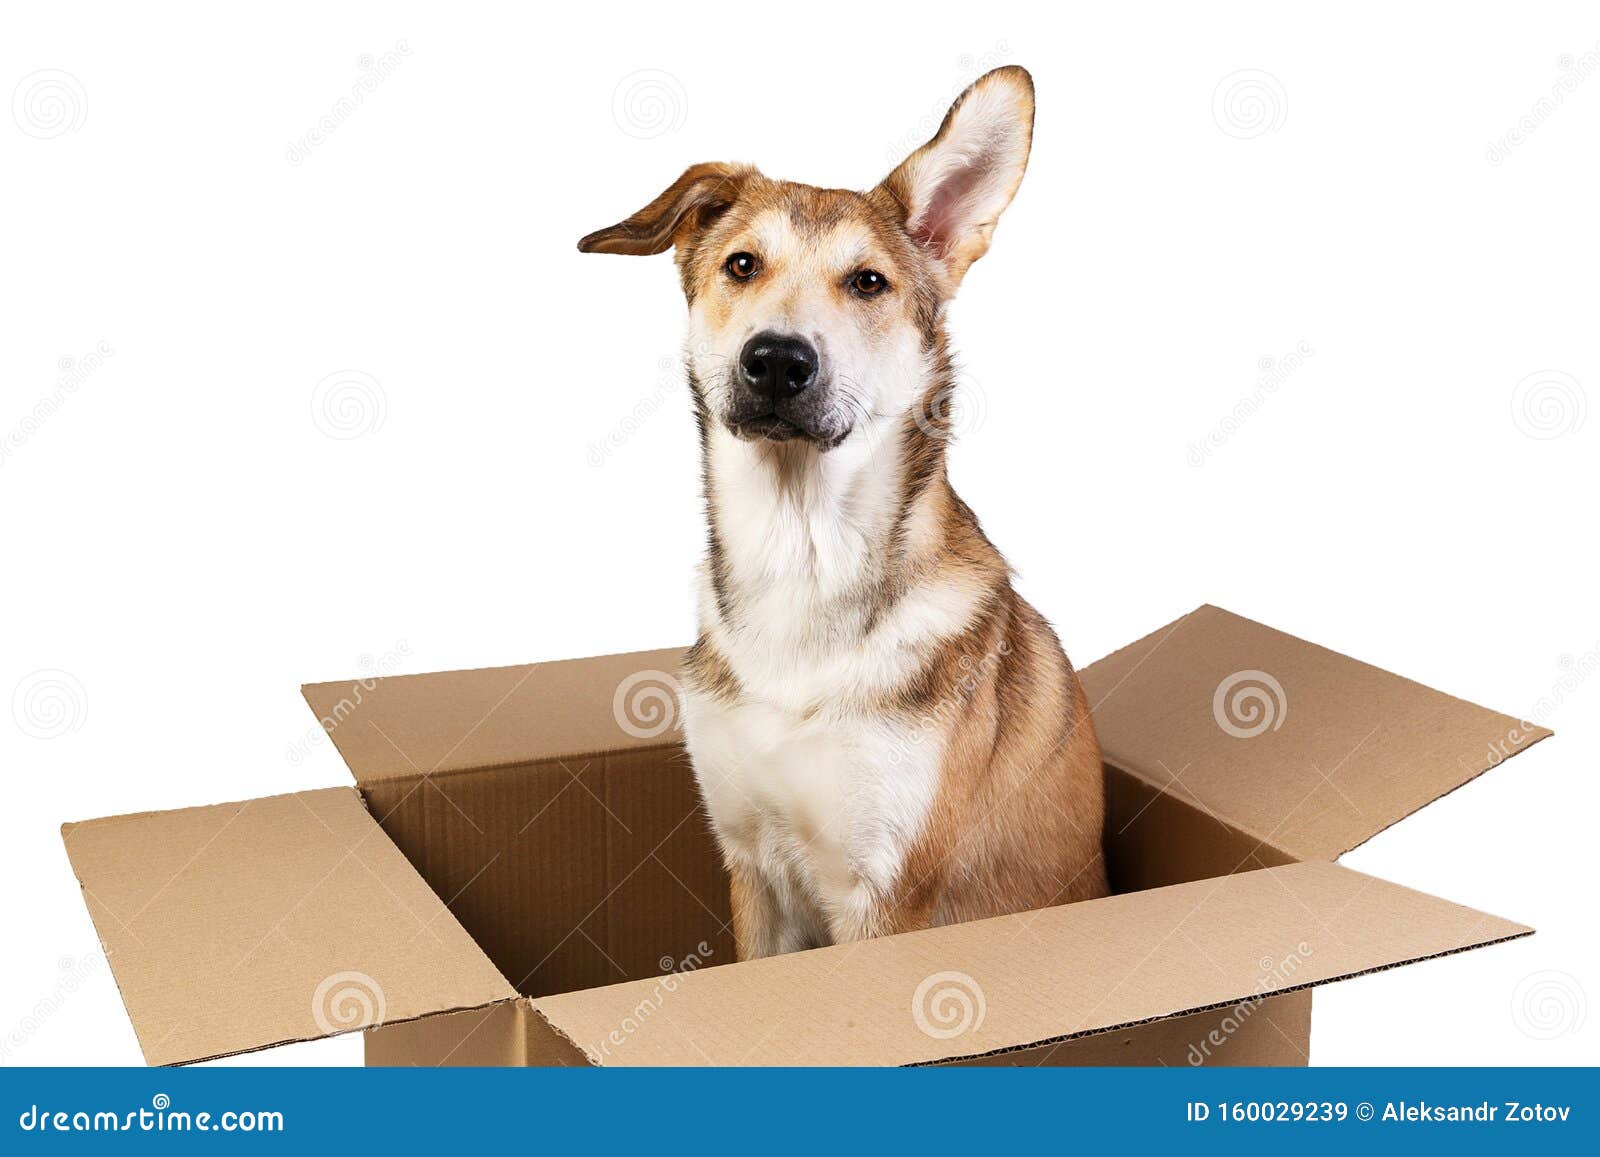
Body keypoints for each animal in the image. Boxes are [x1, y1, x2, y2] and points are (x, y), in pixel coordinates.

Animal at [582, 68, 1107, 966]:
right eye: (742, 265)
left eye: (868, 282)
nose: (777, 360)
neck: (802, 552)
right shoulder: (751, 866)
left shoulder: (885, 895)